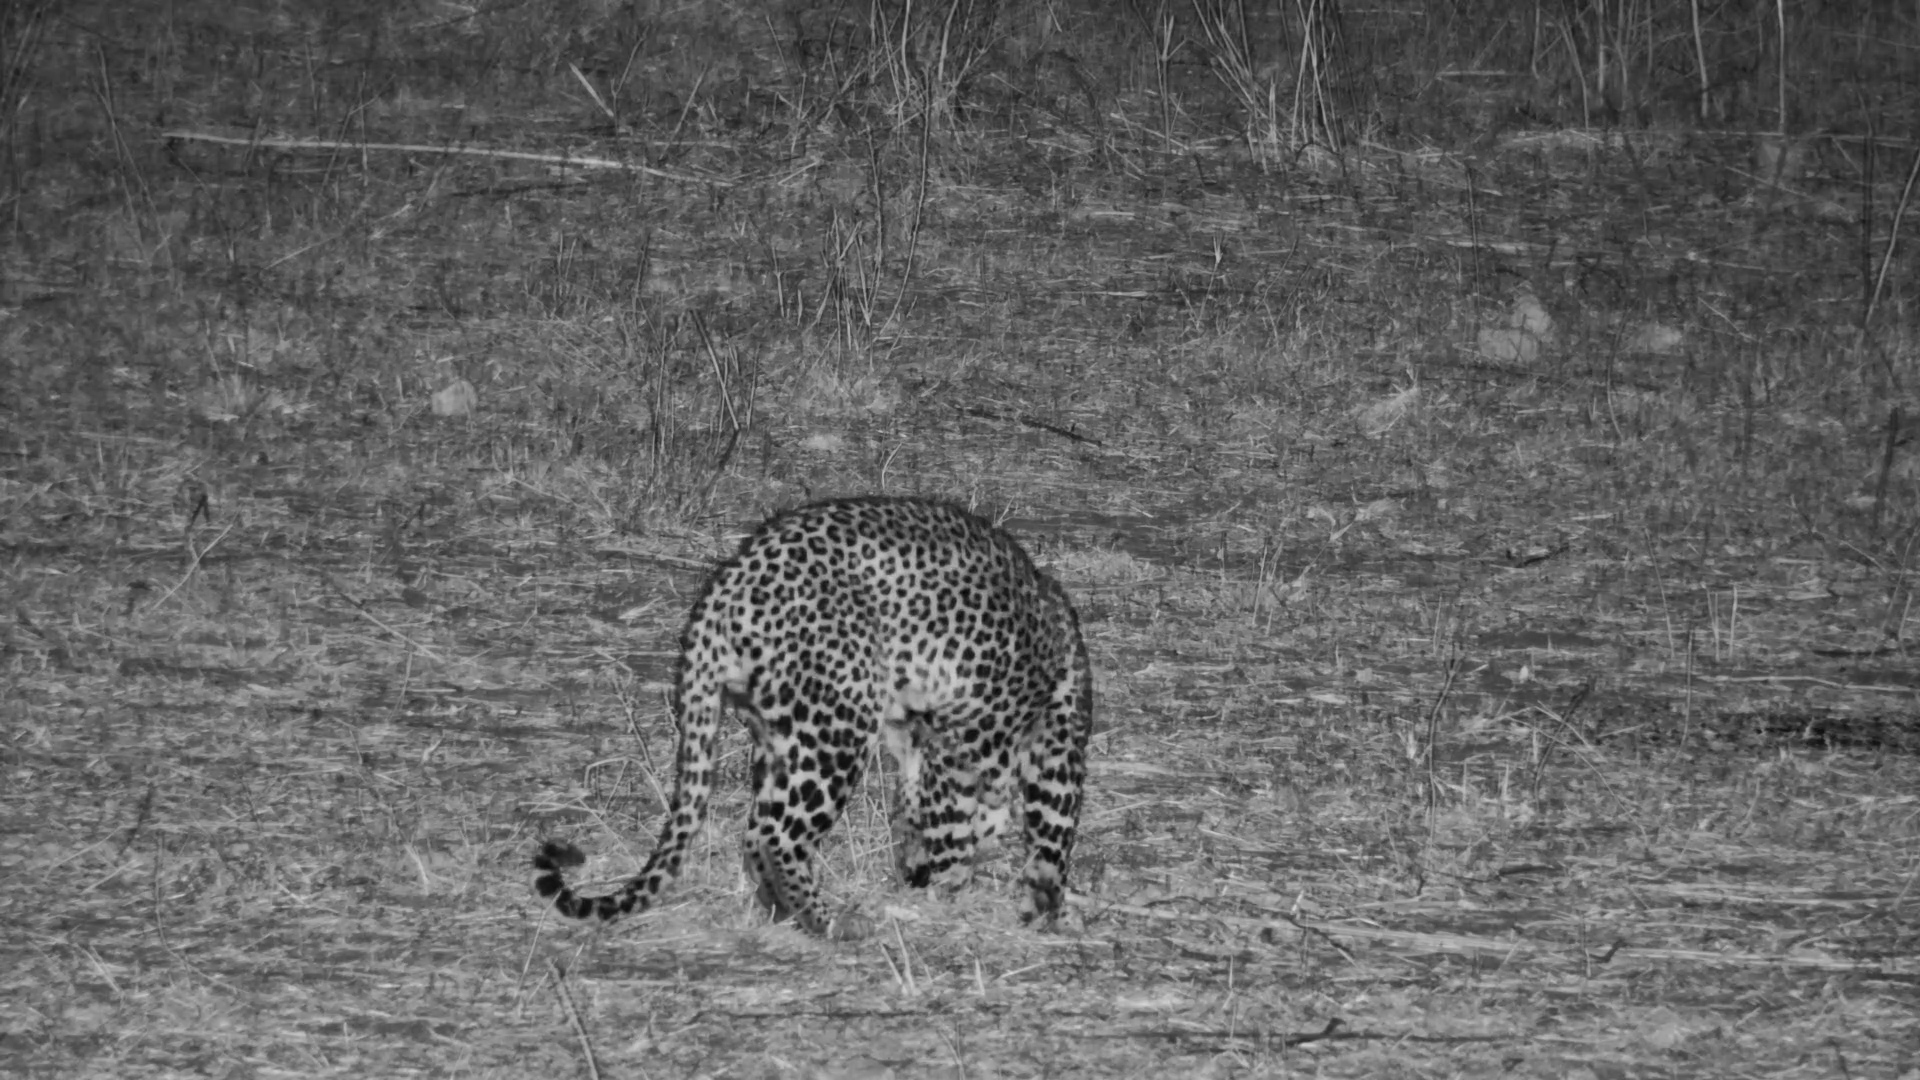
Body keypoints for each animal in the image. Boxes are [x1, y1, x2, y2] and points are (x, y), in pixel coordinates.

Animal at [534, 495, 1093, 937]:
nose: (908, 875)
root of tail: (726, 585)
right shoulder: (996, 747)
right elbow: (1018, 829)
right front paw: (984, 893)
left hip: (783, 734)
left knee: (757, 832)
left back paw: (785, 913)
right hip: (838, 730)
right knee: (776, 836)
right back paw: (832, 922)